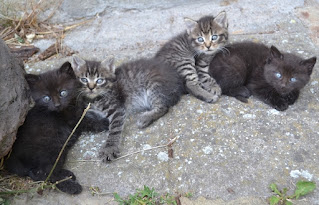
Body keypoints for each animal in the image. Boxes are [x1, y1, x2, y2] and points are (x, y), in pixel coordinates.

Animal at [5, 61, 107, 195]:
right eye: (46, 98)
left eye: (63, 92)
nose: (57, 105)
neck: (66, 109)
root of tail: (12, 157)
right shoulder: (74, 121)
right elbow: (87, 121)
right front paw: (104, 123)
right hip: (53, 147)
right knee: (46, 173)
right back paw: (70, 186)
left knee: (39, 172)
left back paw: (67, 174)